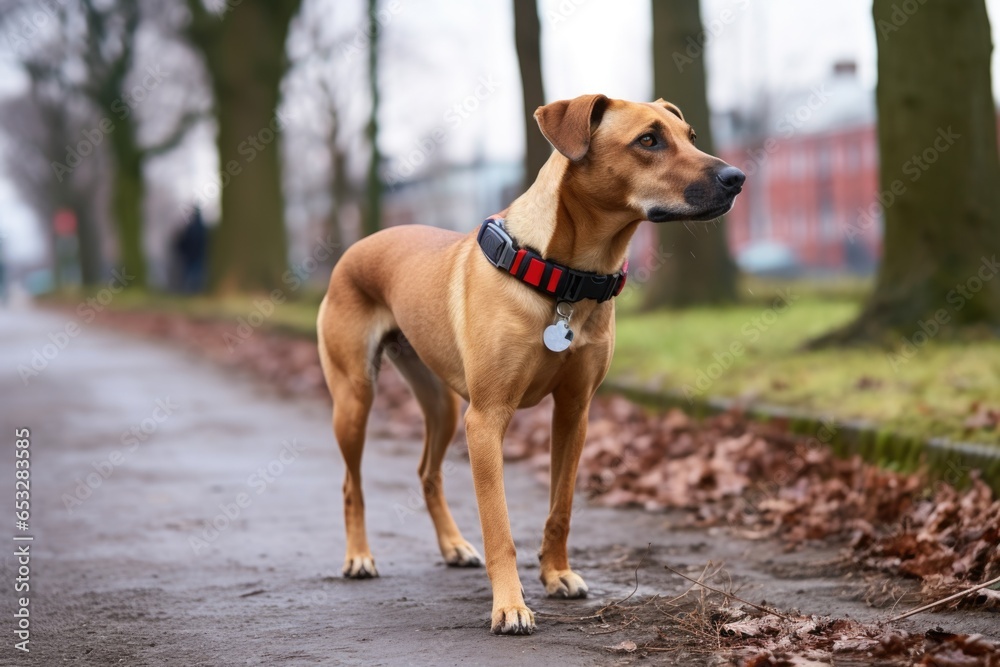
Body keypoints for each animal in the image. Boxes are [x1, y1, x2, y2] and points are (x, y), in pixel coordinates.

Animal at [316, 94, 748, 636]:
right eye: (648, 140)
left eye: (690, 136)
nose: (737, 177)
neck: (565, 276)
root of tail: (360, 244)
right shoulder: (486, 420)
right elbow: (499, 525)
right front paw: (510, 605)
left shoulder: (574, 412)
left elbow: (560, 507)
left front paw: (556, 574)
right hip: (355, 398)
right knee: (350, 482)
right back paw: (358, 557)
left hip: (439, 404)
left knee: (427, 473)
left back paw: (453, 546)